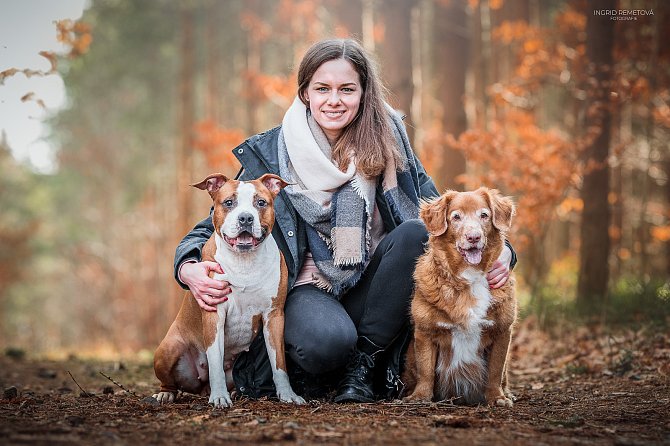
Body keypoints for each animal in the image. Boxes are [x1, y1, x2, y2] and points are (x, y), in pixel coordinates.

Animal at [404, 188, 520, 408]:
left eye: (484, 215)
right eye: (456, 217)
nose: (473, 237)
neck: (470, 276)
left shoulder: (502, 331)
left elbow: (495, 371)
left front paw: (497, 397)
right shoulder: (425, 331)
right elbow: (425, 369)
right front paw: (420, 396)